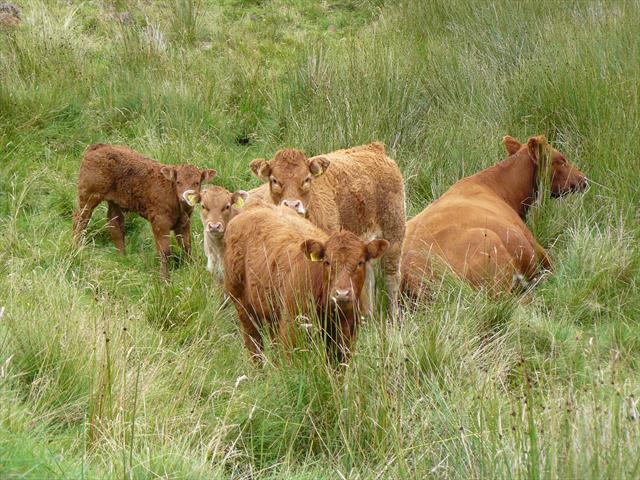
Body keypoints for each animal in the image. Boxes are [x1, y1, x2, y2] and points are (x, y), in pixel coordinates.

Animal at [72, 142, 216, 278]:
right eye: (178, 182)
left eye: (197, 182)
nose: (186, 197)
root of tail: (99, 147)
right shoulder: (160, 223)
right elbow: (164, 252)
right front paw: (165, 279)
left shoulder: (184, 223)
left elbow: (187, 247)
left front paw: (191, 270)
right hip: (89, 196)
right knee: (80, 219)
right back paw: (75, 247)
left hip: (114, 202)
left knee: (115, 225)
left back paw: (123, 258)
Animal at [222, 202, 388, 364]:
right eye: (327, 262)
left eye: (360, 262)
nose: (341, 294)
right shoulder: (292, 329)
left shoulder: (346, 334)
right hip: (242, 306)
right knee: (254, 344)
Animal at [249, 142, 404, 316]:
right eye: (274, 180)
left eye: (306, 179)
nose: (292, 204)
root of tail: (374, 148)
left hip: (394, 235)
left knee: (392, 278)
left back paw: (393, 318)